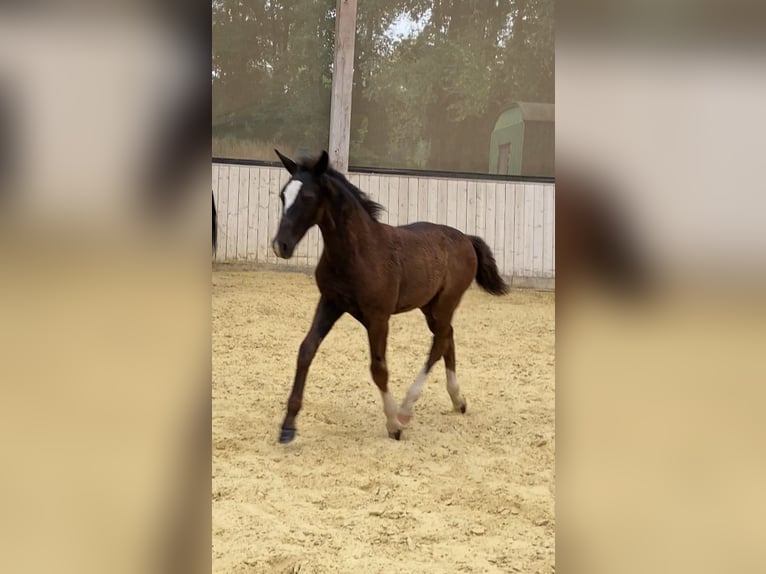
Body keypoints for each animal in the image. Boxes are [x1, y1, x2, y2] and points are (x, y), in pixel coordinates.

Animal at [270, 150, 510, 446]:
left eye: (308, 197)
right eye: (283, 195)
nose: (280, 246)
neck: (357, 252)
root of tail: (466, 238)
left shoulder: (378, 317)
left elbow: (379, 368)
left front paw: (393, 424)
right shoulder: (330, 303)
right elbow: (306, 351)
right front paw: (288, 426)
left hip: (445, 303)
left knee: (439, 342)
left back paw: (406, 409)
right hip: (430, 306)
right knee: (447, 338)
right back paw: (457, 400)